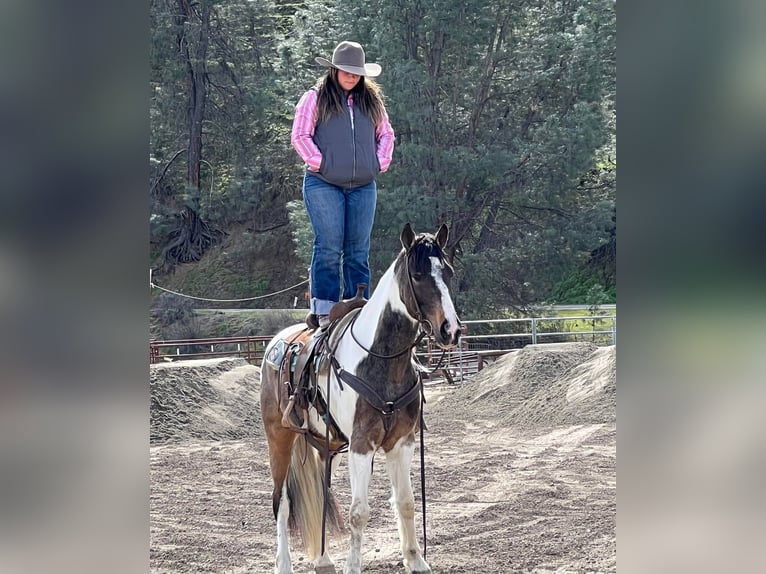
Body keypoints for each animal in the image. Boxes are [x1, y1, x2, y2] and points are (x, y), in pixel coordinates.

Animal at [258, 225, 462, 574]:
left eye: (447, 272)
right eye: (418, 274)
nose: (451, 330)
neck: (381, 358)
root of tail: (278, 340)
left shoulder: (401, 442)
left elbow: (406, 502)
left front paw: (416, 560)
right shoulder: (362, 443)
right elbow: (359, 512)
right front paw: (353, 566)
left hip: (326, 444)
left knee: (322, 494)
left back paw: (324, 559)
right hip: (279, 436)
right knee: (281, 501)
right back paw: (283, 564)